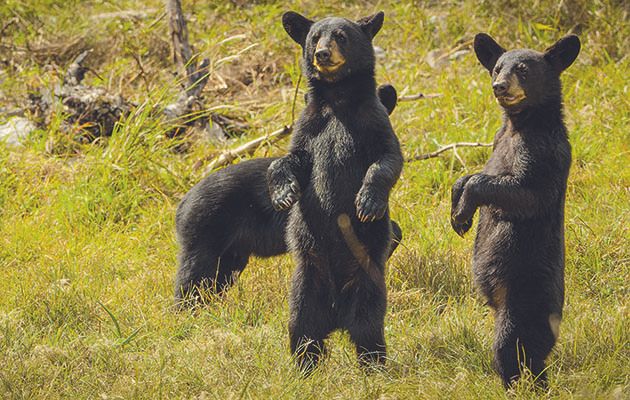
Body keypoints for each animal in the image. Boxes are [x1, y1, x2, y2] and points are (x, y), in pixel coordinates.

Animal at [270, 10, 402, 374]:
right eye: (315, 37)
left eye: (341, 36)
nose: (323, 54)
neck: (338, 98)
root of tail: (337, 316)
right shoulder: (310, 126)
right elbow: (292, 158)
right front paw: (283, 193)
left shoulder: (372, 120)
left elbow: (387, 158)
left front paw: (368, 203)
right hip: (305, 281)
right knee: (301, 328)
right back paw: (304, 368)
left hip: (367, 281)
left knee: (369, 327)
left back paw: (374, 367)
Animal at [454, 32, 584, 390]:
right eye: (498, 67)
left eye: (523, 70)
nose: (499, 85)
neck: (519, 125)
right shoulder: (497, 142)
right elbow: (474, 173)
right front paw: (457, 208)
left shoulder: (543, 153)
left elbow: (523, 192)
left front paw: (463, 212)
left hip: (523, 300)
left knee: (512, 349)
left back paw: (519, 386)